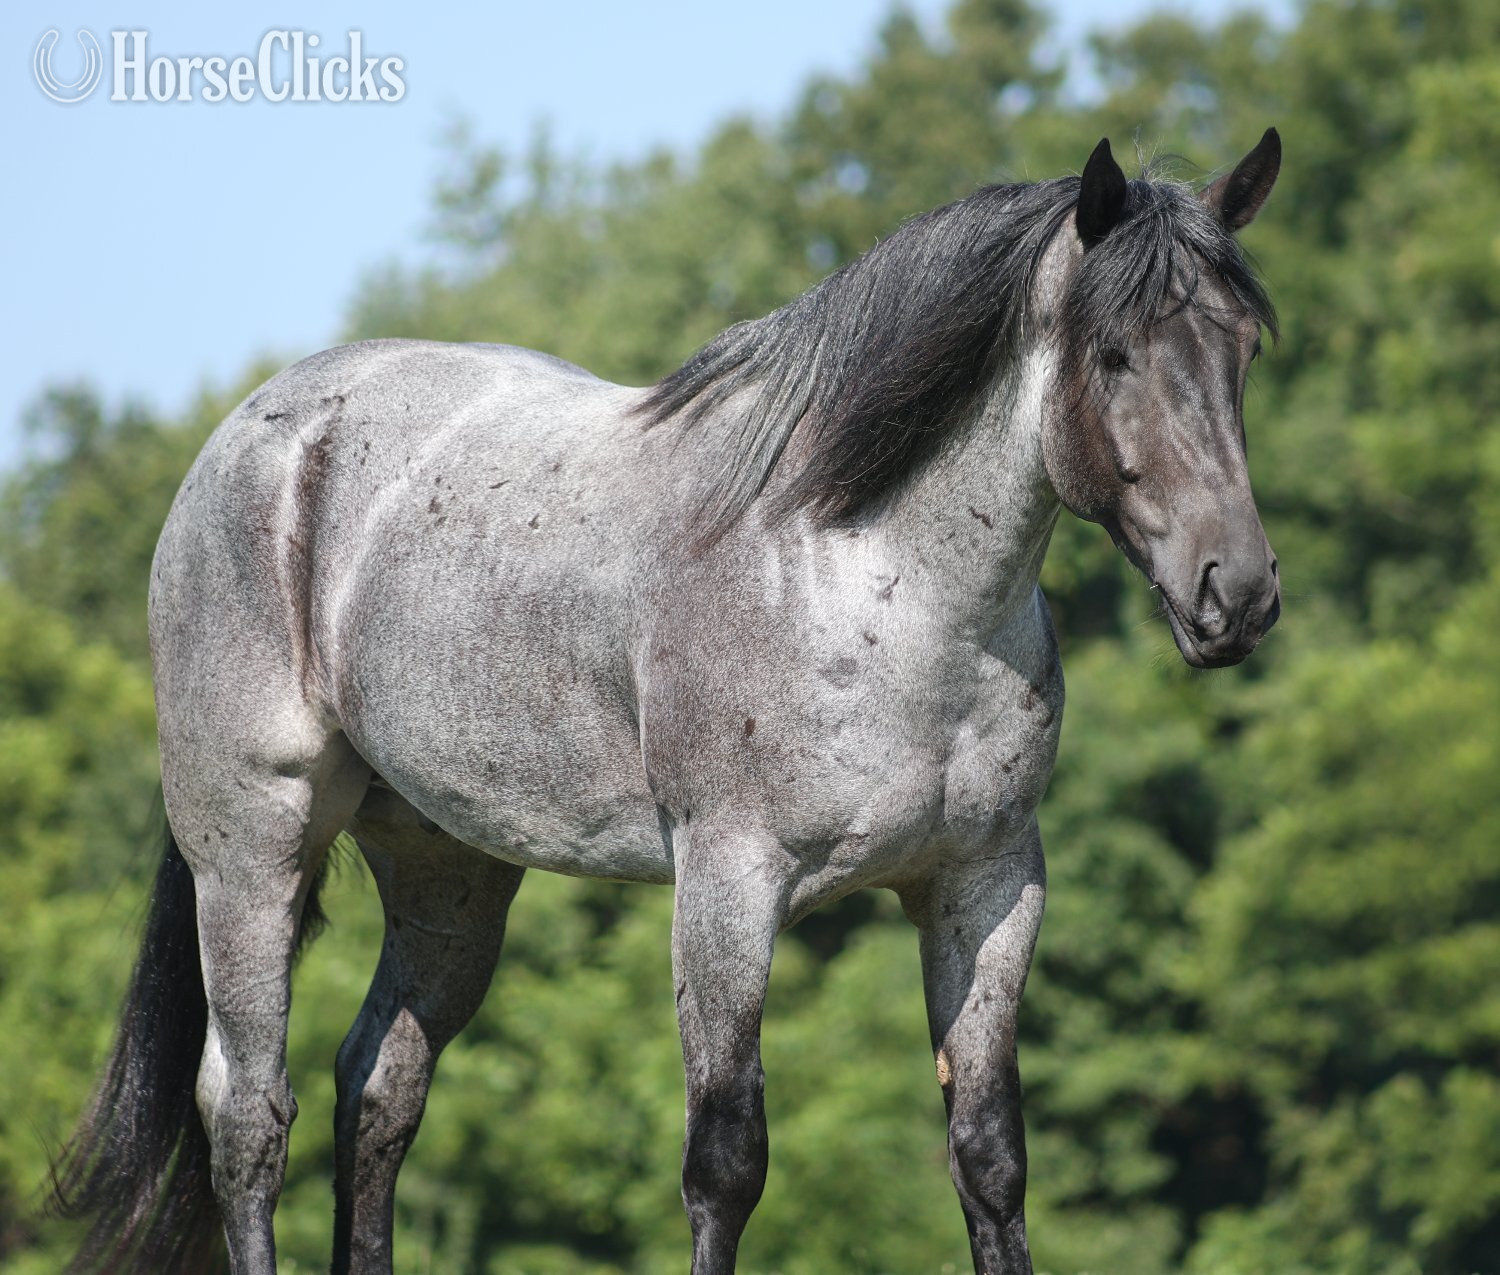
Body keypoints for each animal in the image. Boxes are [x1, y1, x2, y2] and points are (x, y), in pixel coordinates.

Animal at [49, 130, 1283, 1275]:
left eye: (1242, 347)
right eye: (1113, 353)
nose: (1238, 593)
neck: (873, 583)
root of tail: (257, 431)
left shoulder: (986, 888)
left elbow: (988, 1155)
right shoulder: (729, 884)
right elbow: (725, 1160)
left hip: (447, 873)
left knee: (379, 1090)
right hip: (252, 853)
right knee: (249, 1117)